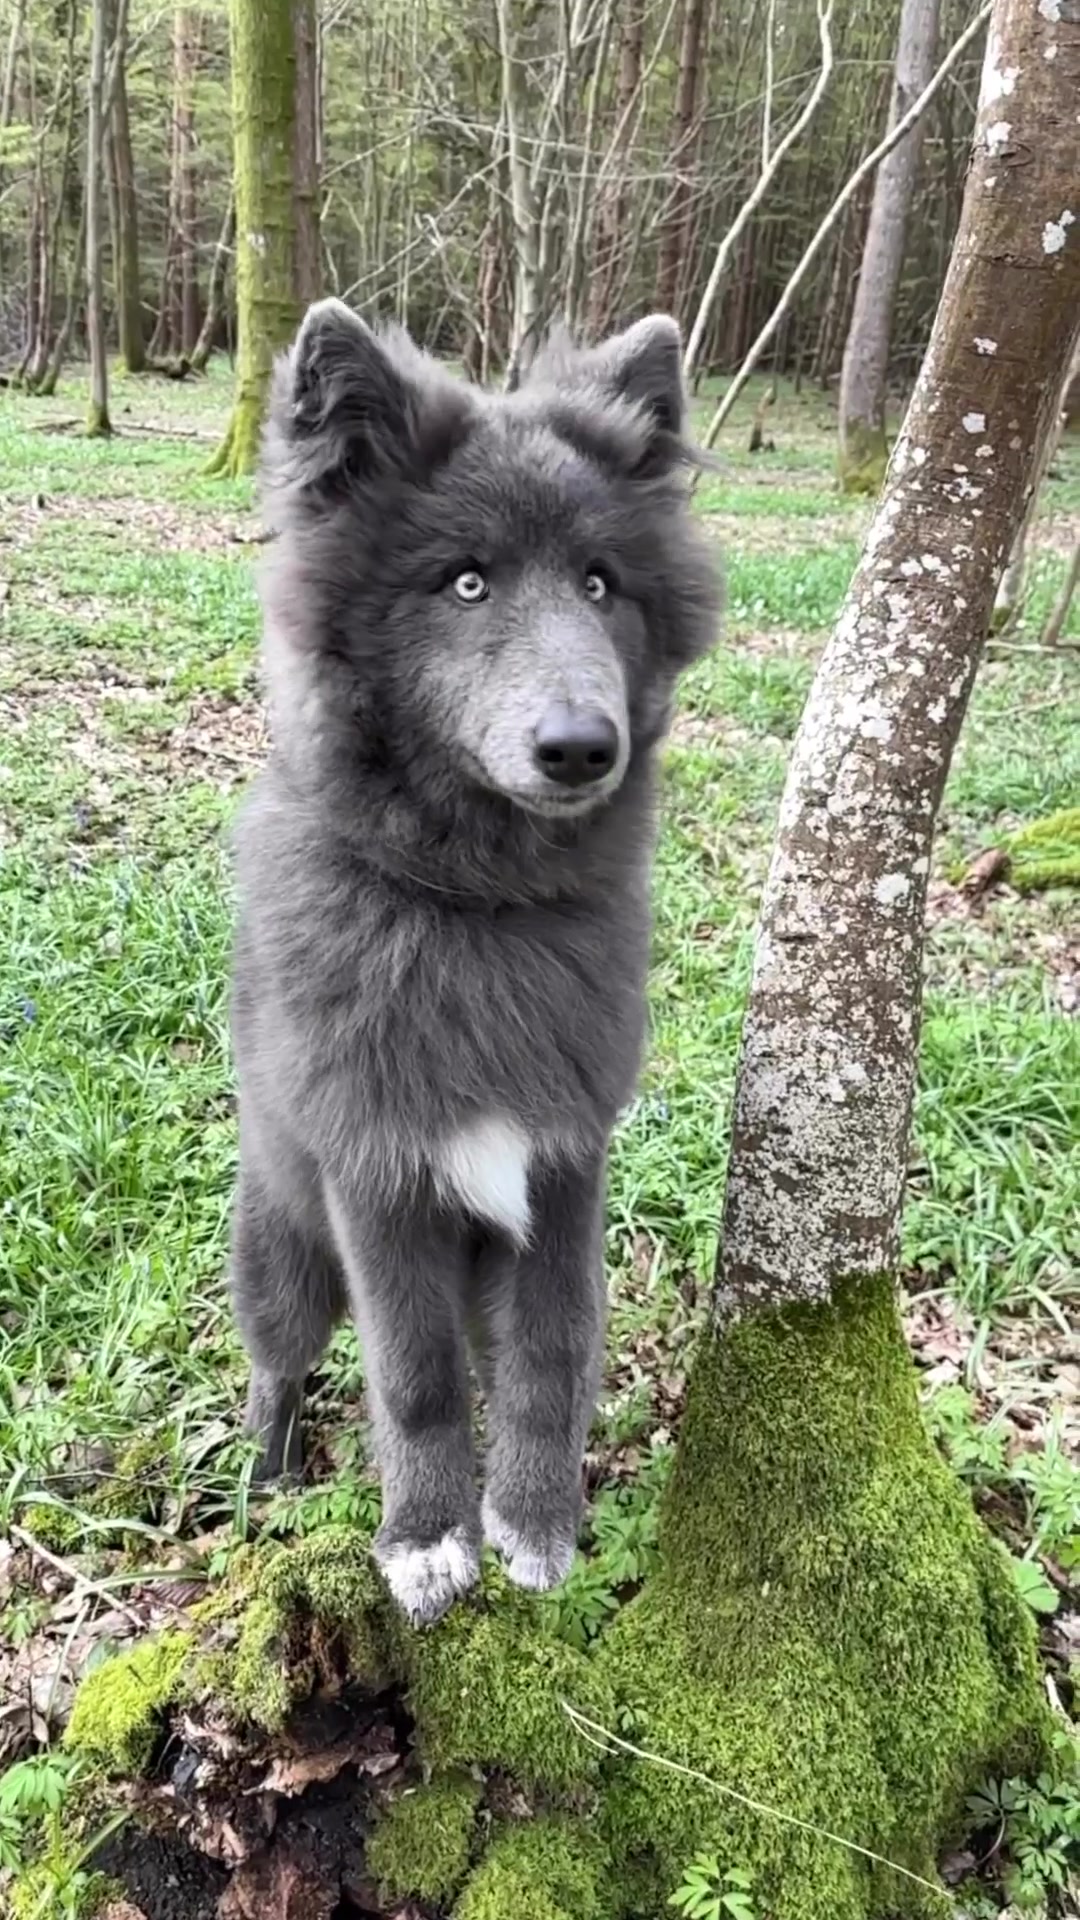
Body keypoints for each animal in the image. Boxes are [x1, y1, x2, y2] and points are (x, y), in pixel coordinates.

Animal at [228, 299, 720, 1625]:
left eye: (600, 583)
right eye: (465, 581)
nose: (581, 747)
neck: (480, 909)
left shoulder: (560, 1170)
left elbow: (550, 1362)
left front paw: (536, 1526)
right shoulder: (377, 1181)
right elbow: (413, 1378)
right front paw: (428, 1540)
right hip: (283, 1246)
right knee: (280, 1363)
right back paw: (265, 1473)